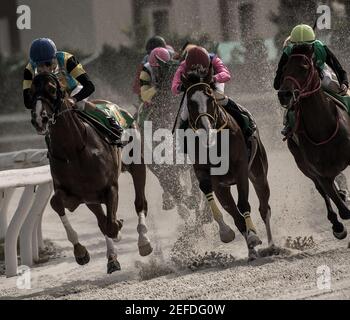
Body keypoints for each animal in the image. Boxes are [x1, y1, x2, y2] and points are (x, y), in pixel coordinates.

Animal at [31, 72, 153, 272]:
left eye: (51, 89)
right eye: (30, 91)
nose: (40, 119)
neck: (73, 151)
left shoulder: (110, 187)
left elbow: (111, 225)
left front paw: (119, 228)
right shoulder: (76, 194)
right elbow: (57, 203)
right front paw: (80, 251)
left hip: (137, 163)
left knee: (140, 203)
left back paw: (143, 241)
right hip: (91, 198)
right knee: (102, 221)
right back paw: (112, 258)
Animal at [182, 73, 274, 260]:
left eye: (210, 99)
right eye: (190, 103)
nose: (206, 129)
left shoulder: (240, 170)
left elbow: (243, 204)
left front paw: (253, 236)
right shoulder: (214, 180)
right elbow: (232, 213)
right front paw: (228, 233)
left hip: (259, 172)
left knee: (264, 207)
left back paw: (271, 245)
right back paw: (252, 250)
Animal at [278, 44, 350, 240]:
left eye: (304, 68)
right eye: (284, 69)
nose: (284, 94)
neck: (323, 129)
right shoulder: (320, 173)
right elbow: (343, 210)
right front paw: (339, 224)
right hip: (303, 165)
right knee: (322, 191)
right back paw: (336, 223)